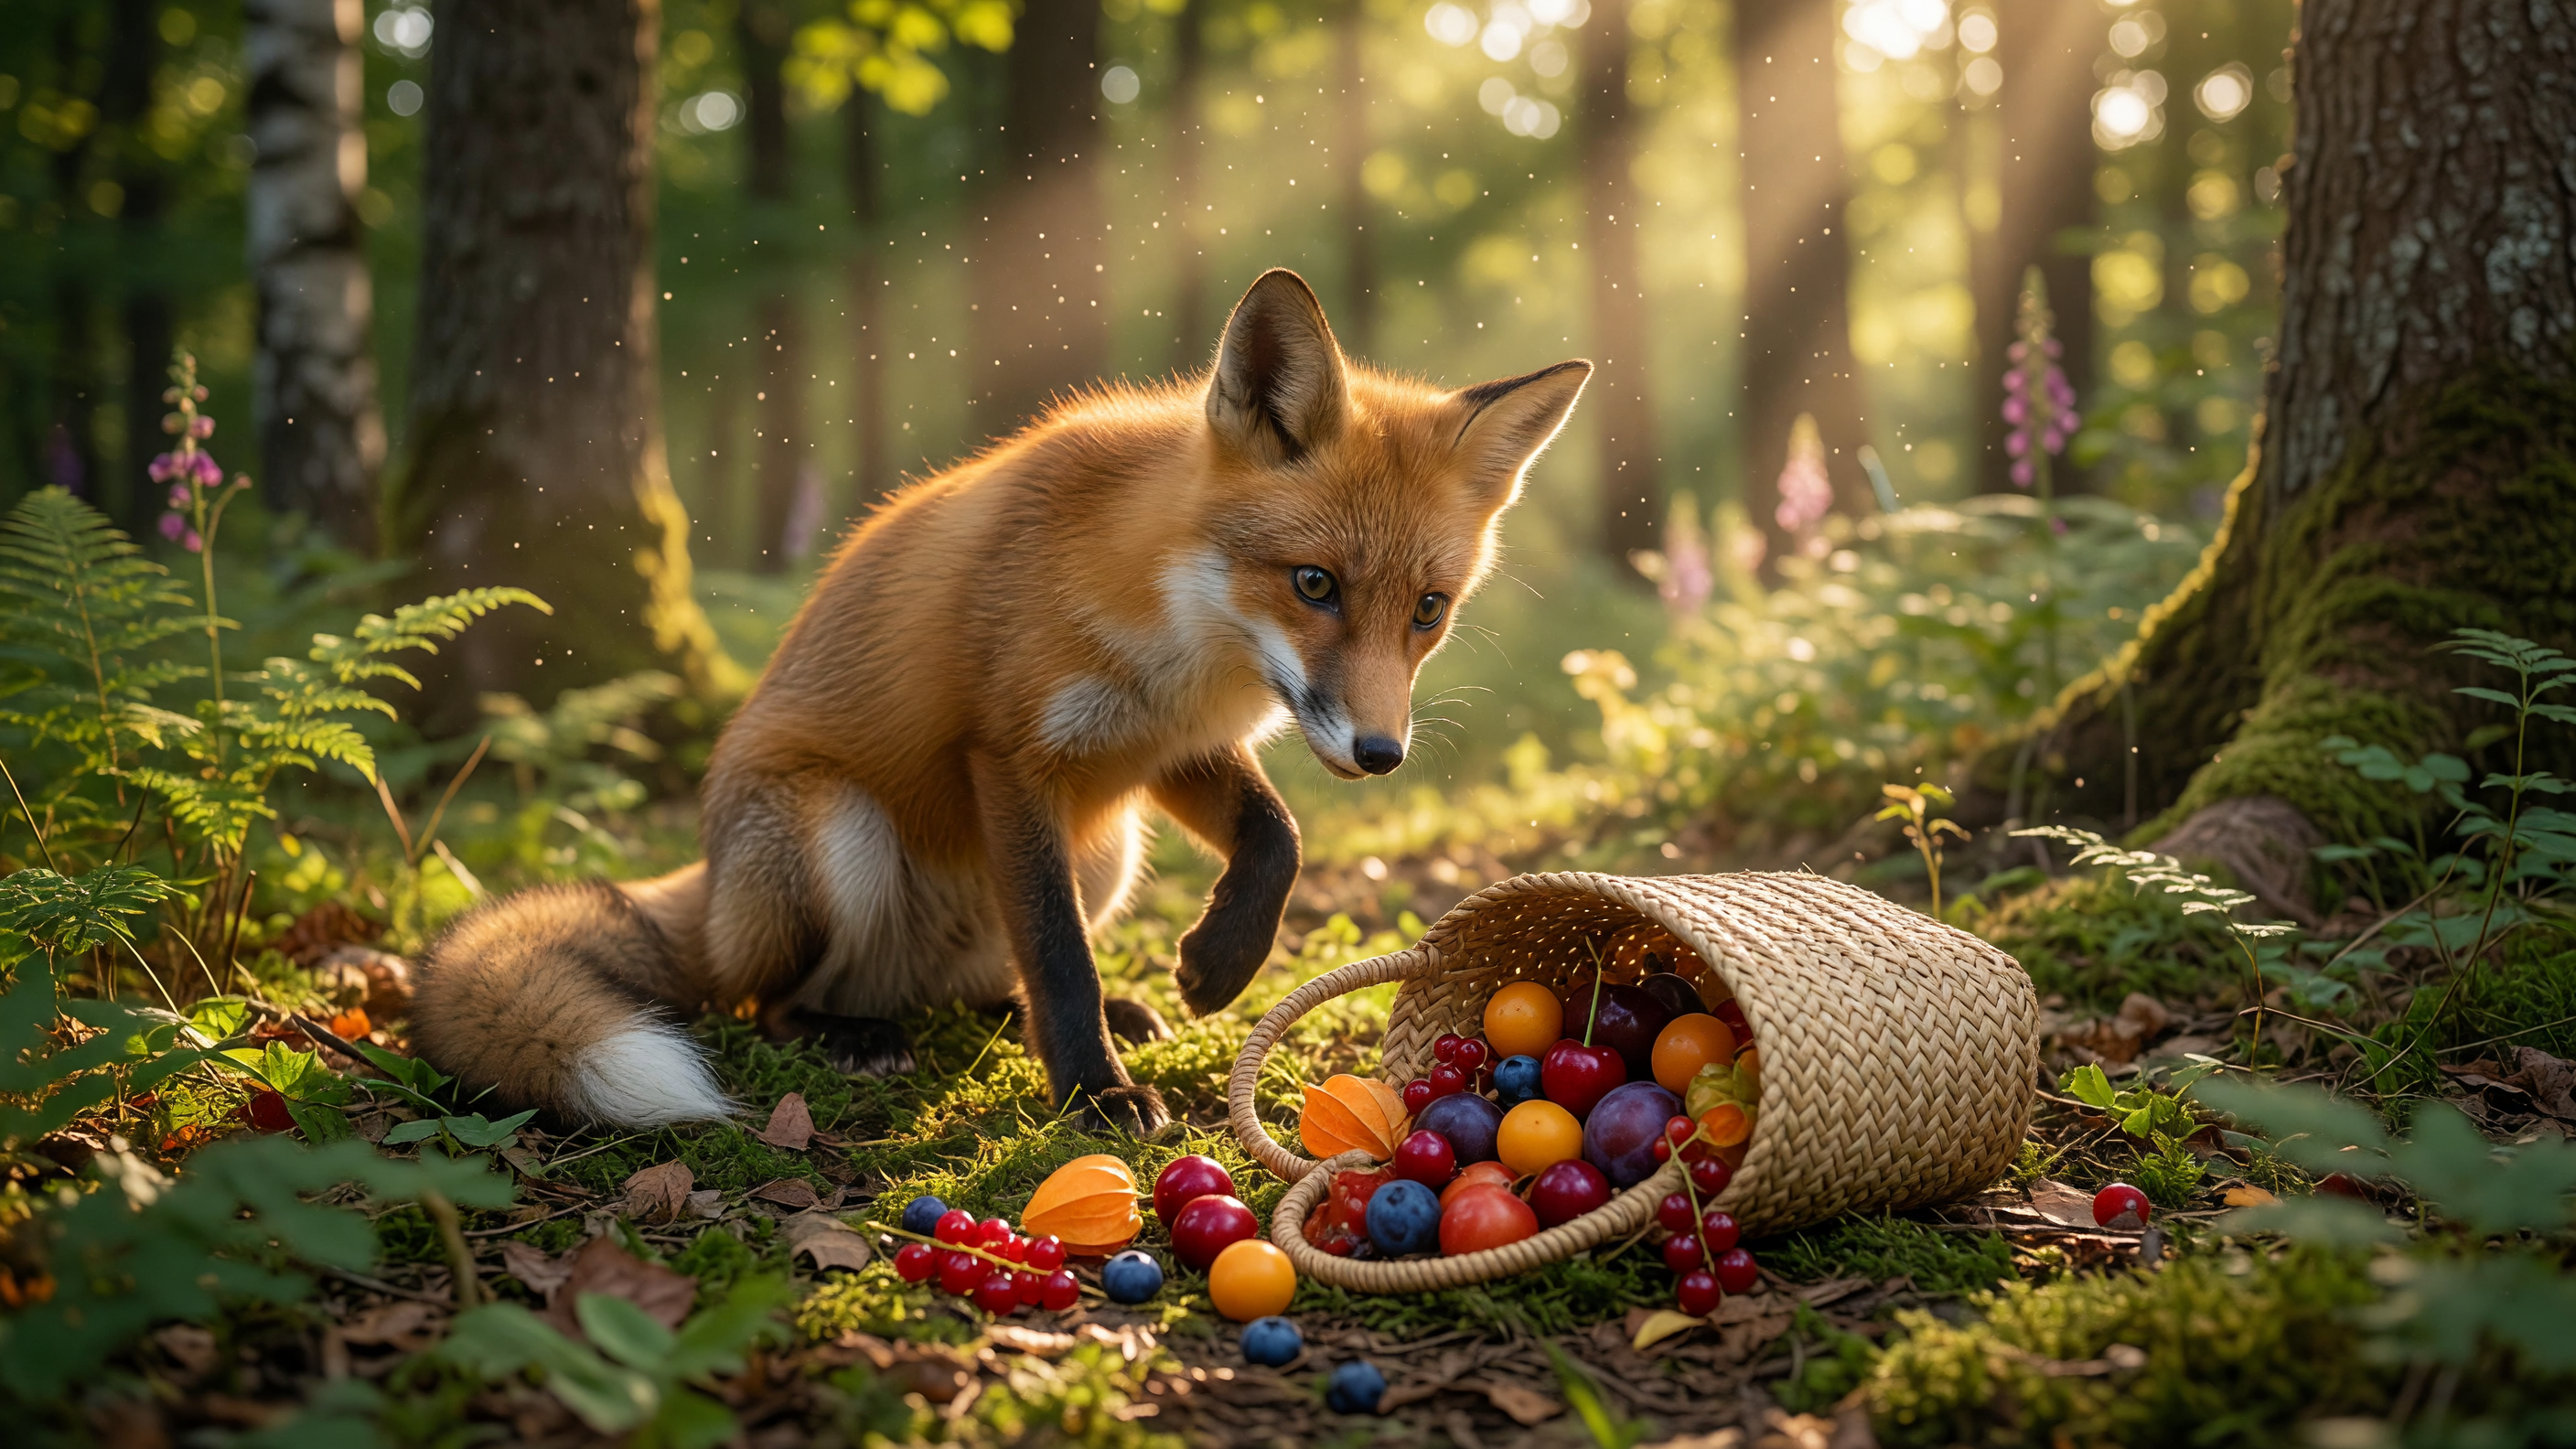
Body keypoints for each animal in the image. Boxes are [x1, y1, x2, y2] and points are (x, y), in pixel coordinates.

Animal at [408, 269, 1589, 1135]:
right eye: (1314, 585)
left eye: (1427, 610)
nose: (1382, 753)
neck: (1182, 639)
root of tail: (704, 884)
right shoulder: (1011, 756)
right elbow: (1058, 955)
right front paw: (1094, 1095)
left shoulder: (1163, 751)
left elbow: (1276, 839)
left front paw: (1216, 964)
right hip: (830, 830)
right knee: (765, 999)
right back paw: (843, 1034)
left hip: (1106, 852)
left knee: (979, 979)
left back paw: (1048, 1006)